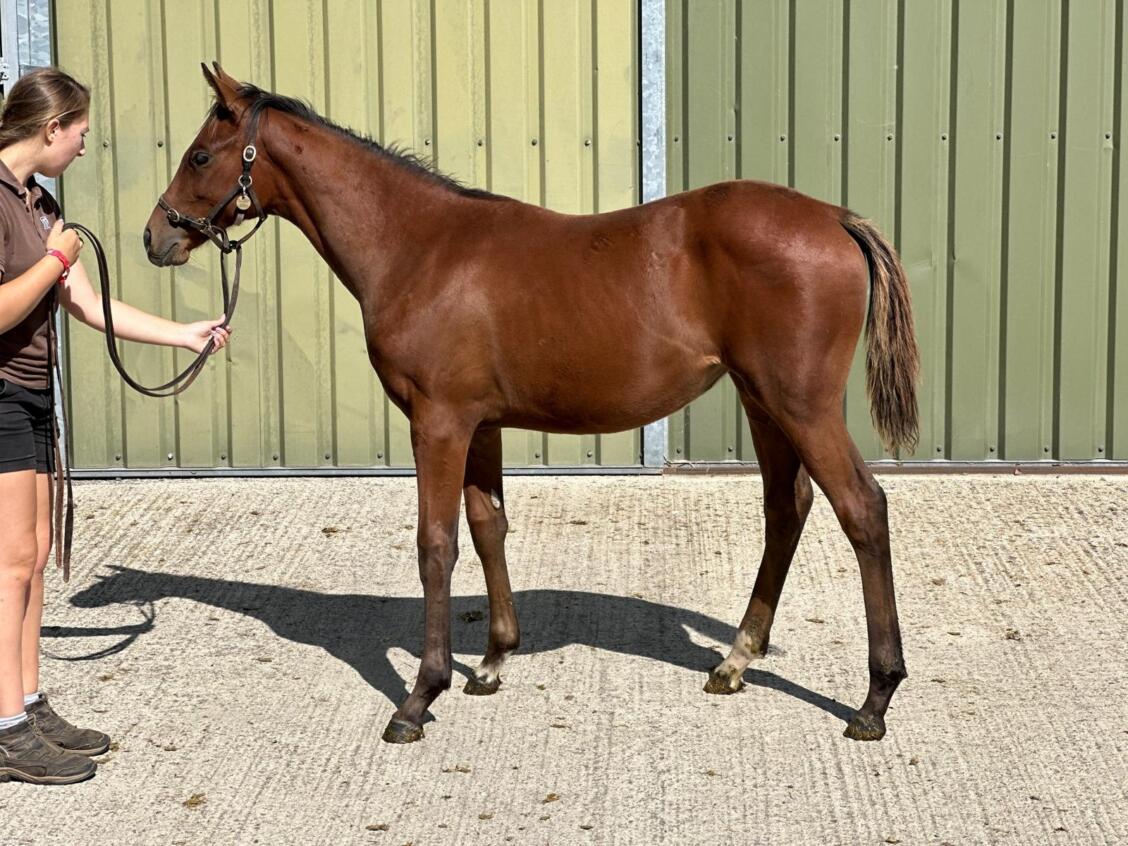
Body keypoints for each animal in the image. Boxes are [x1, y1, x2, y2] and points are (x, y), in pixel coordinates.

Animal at [144, 63, 919, 745]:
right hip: (763, 402)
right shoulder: (478, 424)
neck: (420, 248)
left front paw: (419, 698)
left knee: (862, 509)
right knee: (787, 507)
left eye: (201, 154)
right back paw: (735, 660)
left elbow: (436, 544)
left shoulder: (438, 422)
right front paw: (490, 663)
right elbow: (488, 526)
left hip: (802, 405)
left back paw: (875, 699)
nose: (156, 237)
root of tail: (834, 218)